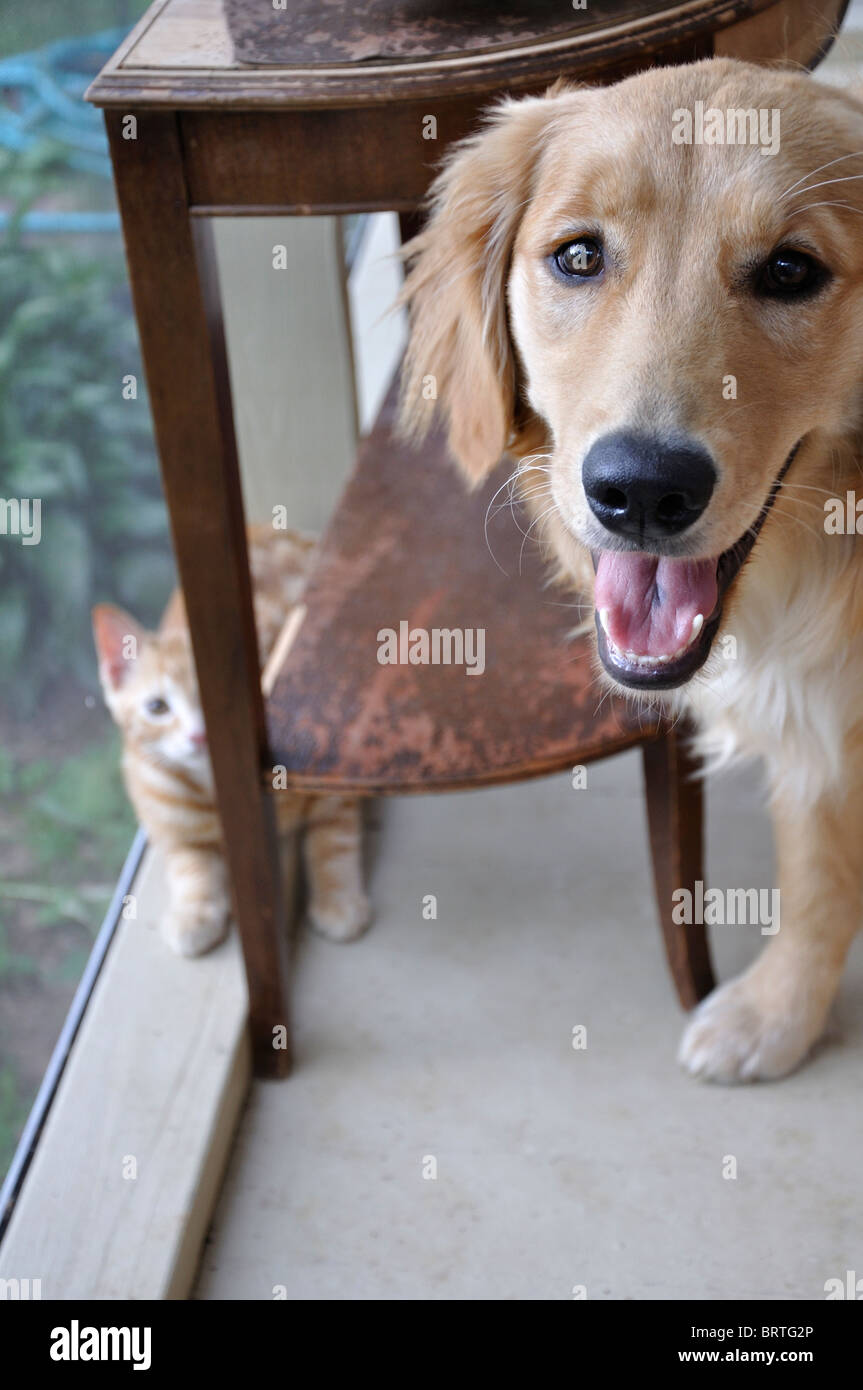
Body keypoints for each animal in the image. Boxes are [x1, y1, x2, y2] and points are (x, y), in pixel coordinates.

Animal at [93, 528, 369, 956]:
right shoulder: (158, 806)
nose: (199, 734)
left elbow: (333, 838)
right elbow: (189, 861)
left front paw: (338, 900)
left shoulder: (331, 777)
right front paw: (194, 912)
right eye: (157, 707)